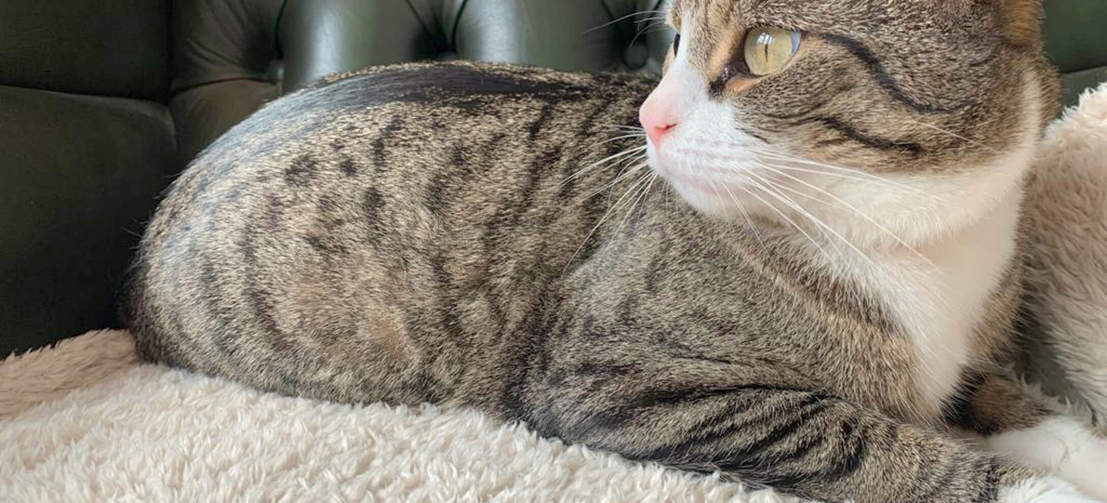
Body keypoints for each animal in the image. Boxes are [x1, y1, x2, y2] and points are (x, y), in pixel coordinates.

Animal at [123, 0, 1107, 502]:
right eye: (672, 41)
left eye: (768, 46)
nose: (648, 116)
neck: (915, 233)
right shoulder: (609, 378)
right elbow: (874, 439)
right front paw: (1036, 487)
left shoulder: (959, 352)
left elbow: (998, 394)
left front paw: (1075, 446)